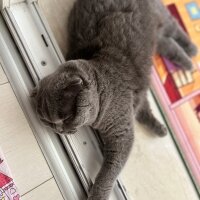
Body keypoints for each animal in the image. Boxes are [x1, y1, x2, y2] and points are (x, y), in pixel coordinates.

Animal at [32, 0, 197, 199]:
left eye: (66, 118)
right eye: (48, 122)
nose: (59, 130)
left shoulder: (122, 133)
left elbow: (110, 170)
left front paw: (97, 195)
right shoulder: (135, 99)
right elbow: (143, 108)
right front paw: (159, 128)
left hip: (161, 17)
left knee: (174, 28)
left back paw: (191, 54)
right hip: (153, 37)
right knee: (167, 44)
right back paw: (187, 62)